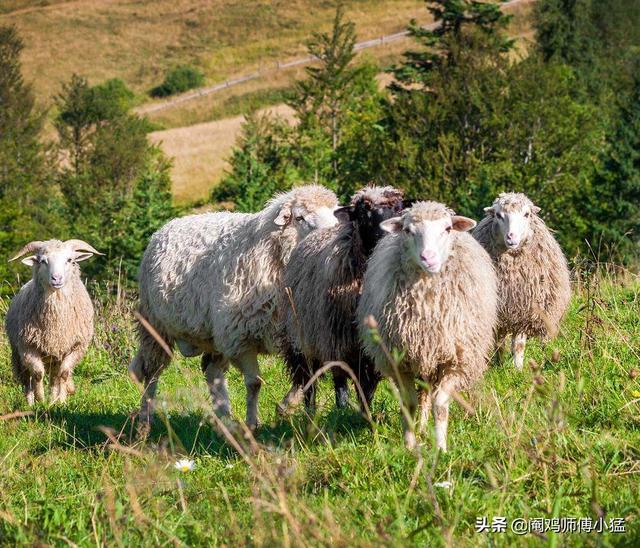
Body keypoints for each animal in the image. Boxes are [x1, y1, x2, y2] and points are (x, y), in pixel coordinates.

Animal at [5, 239, 100, 402]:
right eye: (43, 261)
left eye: (70, 260)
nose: (57, 279)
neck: (56, 322)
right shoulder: (27, 346)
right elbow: (38, 374)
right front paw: (40, 399)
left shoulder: (76, 346)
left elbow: (64, 373)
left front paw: (59, 401)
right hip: (18, 353)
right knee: (27, 378)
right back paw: (30, 402)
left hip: (54, 356)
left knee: (55, 377)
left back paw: (54, 399)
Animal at [127, 185, 342, 432]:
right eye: (300, 218)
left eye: (335, 212)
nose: (331, 235)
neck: (272, 254)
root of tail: (165, 228)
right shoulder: (240, 337)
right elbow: (254, 383)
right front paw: (252, 424)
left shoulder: (298, 336)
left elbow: (309, 376)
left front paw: (287, 407)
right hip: (155, 325)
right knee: (151, 372)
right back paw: (145, 422)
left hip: (213, 334)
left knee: (212, 372)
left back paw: (225, 419)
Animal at [278, 185, 404, 416]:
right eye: (363, 213)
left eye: (399, 209)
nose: (386, 235)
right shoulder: (338, 338)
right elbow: (344, 379)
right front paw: (348, 410)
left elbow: (369, 384)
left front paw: (367, 412)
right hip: (304, 336)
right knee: (311, 378)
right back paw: (312, 410)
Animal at [358, 201, 498, 450]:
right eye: (408, 230)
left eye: (447, 229)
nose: (428, 258)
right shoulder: (400, 361)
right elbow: (409, 403)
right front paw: (409, 445)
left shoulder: (454, 359)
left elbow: (440, 405)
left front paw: (441, 447)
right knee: (422, 395)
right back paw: (421, 428)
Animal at [472, 192, 572, 368]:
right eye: (498, 215)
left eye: (526, 214)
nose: (511, 237)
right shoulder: (498, 312)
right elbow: (499, 343)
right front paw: (500, 364)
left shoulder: (525, 310)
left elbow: (518, 344)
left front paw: (517, 367)